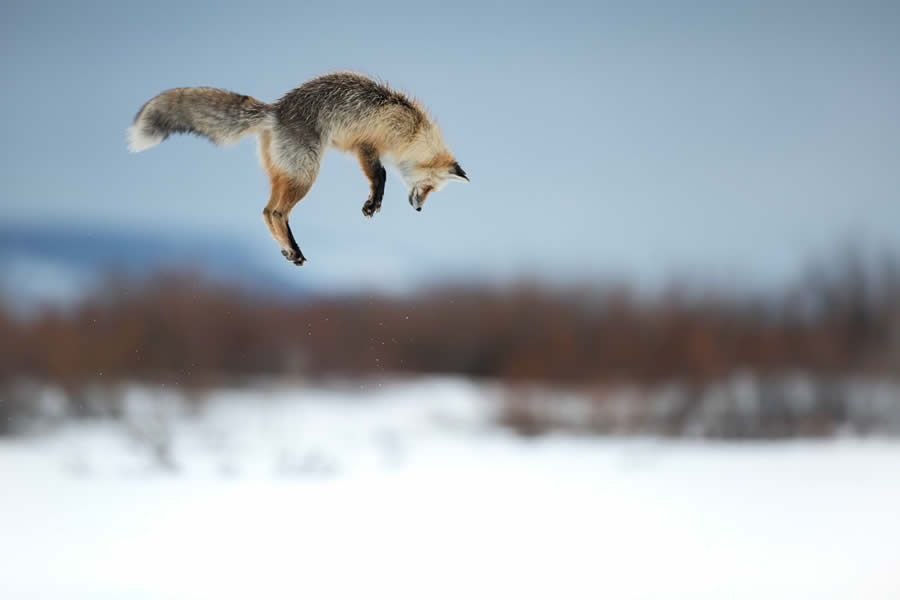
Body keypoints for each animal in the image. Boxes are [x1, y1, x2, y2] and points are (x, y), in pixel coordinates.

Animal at [129, 72, 468, 264]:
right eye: (429, 187)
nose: (419, 210)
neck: (412, 132)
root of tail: (276, 110)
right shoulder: (366, 145)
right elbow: (380, 176)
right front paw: (373, 204)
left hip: (285, 175)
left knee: (266, 212)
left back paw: (289, 251)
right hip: (305, 175)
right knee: (276, 212)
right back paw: (294, 249)